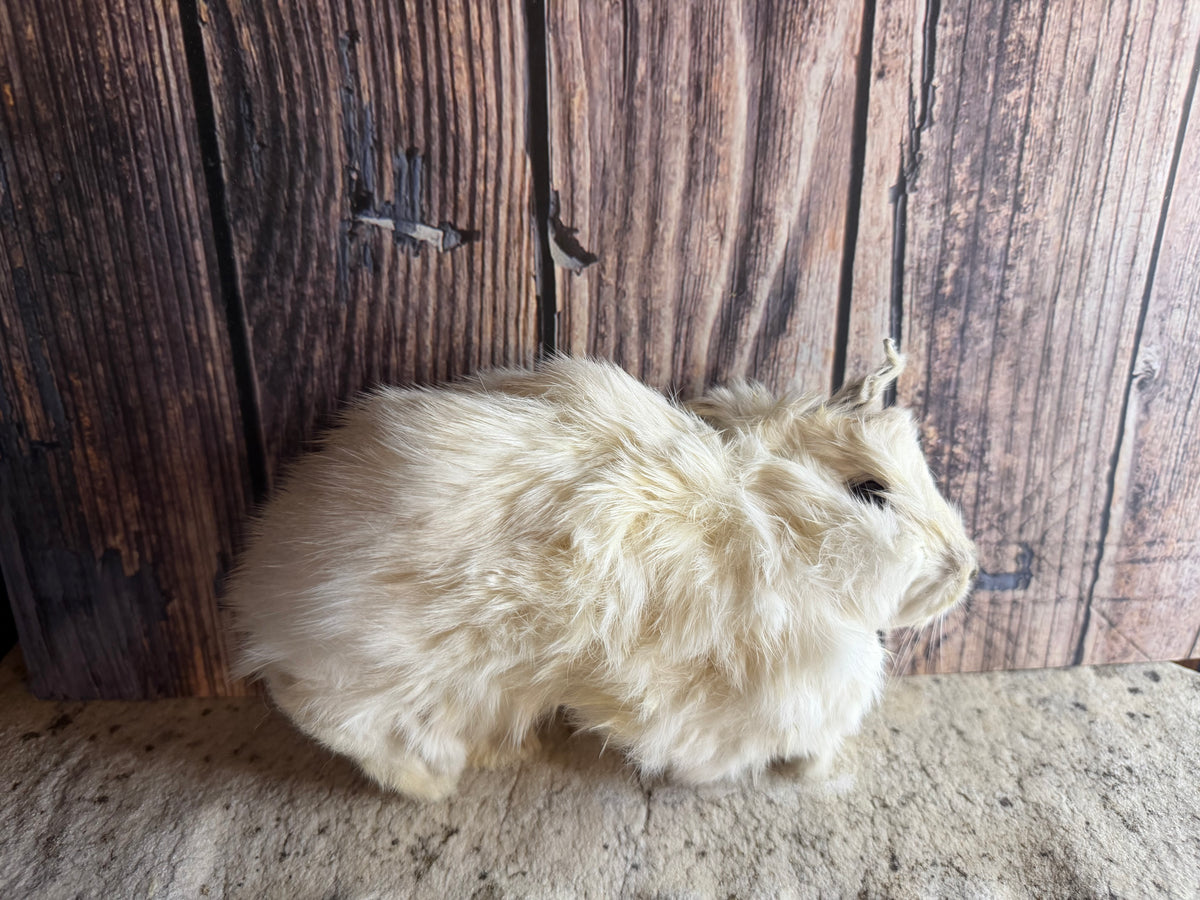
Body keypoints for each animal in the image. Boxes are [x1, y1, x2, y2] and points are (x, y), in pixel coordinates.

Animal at [226, 339, 977, 801]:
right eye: (871, 490)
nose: (966, 570)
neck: (768, 527)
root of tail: (264, 589)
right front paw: (808, 769)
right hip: (399, 672)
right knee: (320, 710)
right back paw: (431, 784)